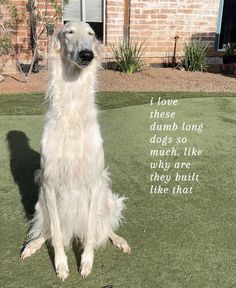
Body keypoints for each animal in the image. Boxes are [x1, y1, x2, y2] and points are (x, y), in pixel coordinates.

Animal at [20, 22, 130, 282]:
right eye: (68, 32)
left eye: (91, 34)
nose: (87, 55)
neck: (71, 113)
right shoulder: (49, 183)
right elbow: (57, 234)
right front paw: (61, 265)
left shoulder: (94, 181)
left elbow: (91, 231)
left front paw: (86, 263)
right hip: (40, 204)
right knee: (48, 232)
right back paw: (32, 245)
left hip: (108, 198)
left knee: (104, 228)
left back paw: (119, 240)